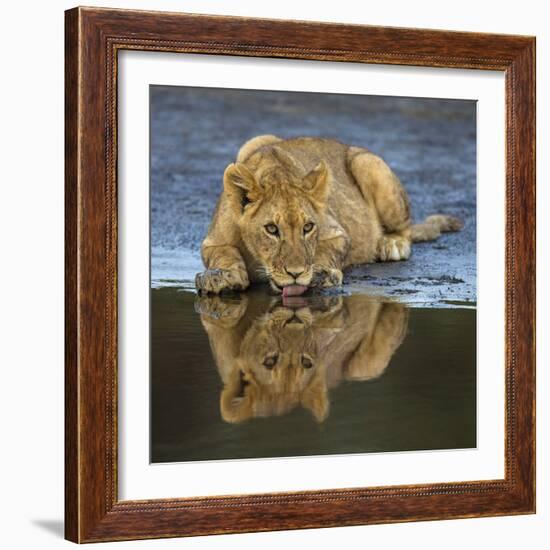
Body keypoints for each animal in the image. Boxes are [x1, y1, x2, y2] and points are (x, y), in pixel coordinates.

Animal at [196, 135, 464, 296]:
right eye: (271, 229)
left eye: (308, 227)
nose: (296, 274)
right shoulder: (212, 242)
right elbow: (223, 254)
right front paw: (222, 276)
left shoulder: (337, 233)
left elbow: (326, 251)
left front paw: (320, 274)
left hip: (368, 163)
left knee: (406, 229)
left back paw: (391, 244)